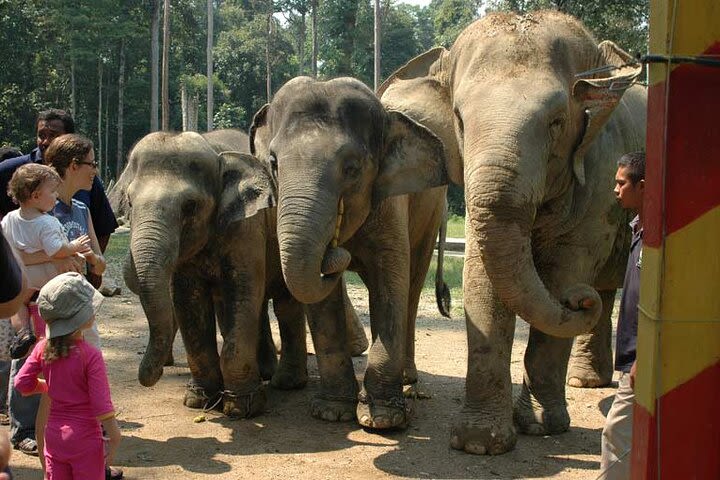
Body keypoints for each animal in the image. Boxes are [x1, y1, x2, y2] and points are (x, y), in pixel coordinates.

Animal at [250, 77, 448, 430]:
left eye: (352, 168)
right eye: (273, 163)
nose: (335, 254)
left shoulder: (390, 208)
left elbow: (390, 283)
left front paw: (383, 420)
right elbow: (320, 304)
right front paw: (332, 412)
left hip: (431, 214)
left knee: (412, 286)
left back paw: (409, 381)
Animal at [380, 11, 644, 454]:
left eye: (557, 122)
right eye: (459, 120)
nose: (577, 302)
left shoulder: (599, 173)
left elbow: (563, 271)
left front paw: (540, 427)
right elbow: (482, 282)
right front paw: (478, 443)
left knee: (595, 282)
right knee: (603, 291)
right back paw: (586, 377)